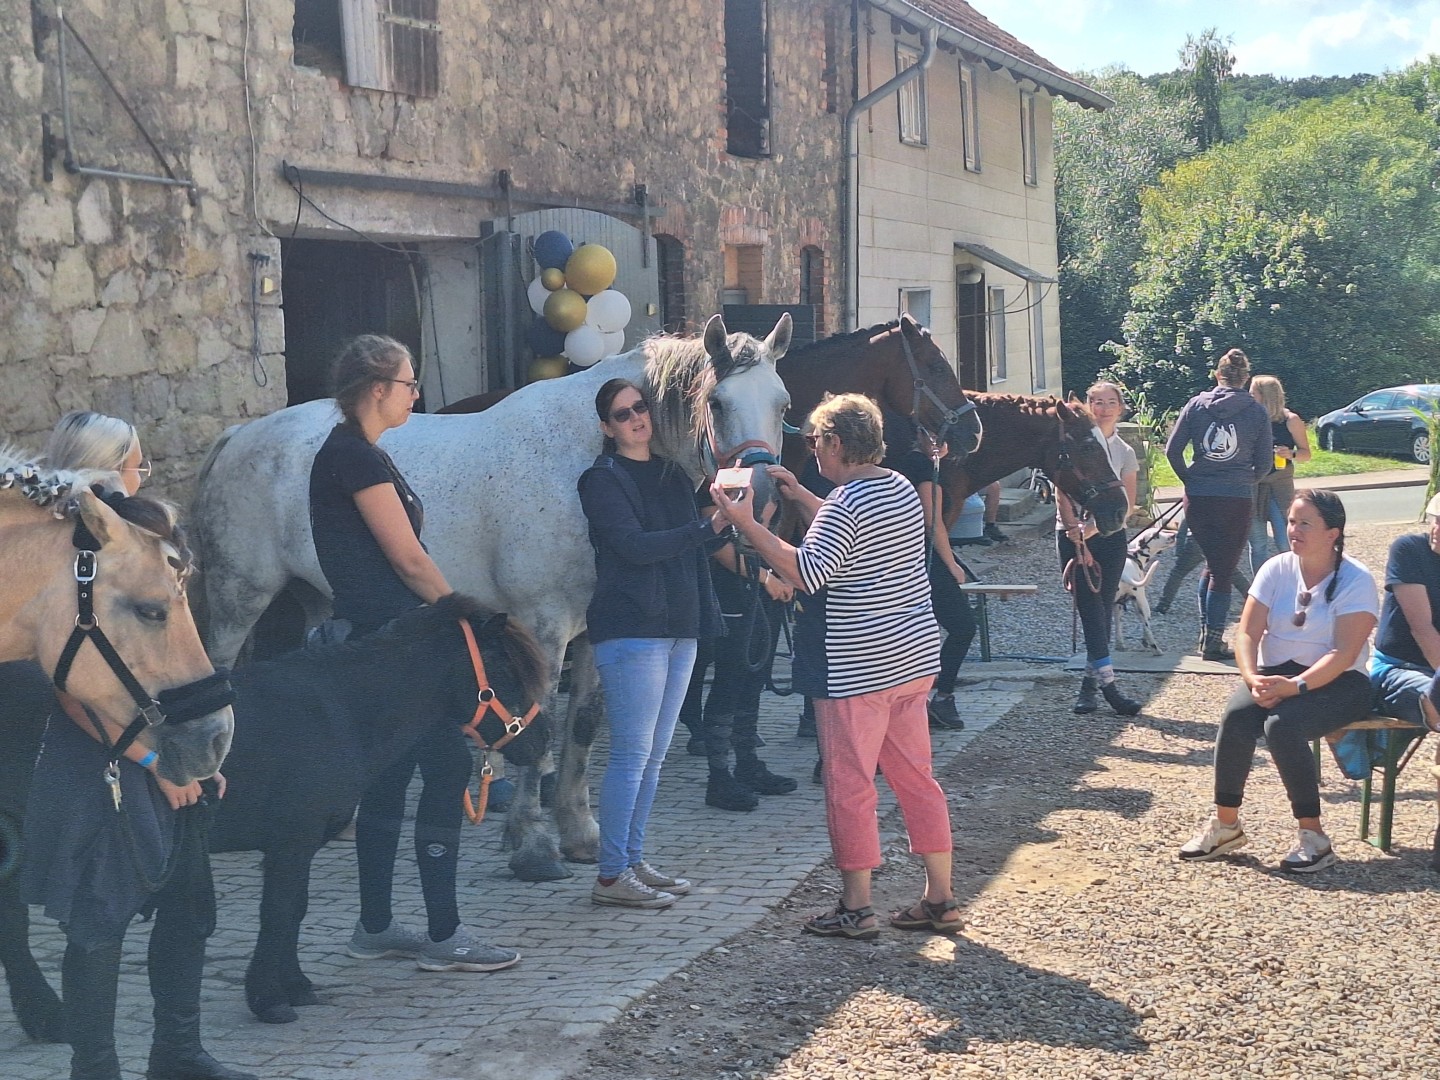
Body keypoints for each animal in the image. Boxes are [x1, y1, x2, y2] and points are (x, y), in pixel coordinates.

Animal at [1, 596, 550, 1036]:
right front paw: (269, 999)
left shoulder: (299, 845)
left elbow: (296, 909)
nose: (542, 742)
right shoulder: (290, 840)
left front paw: (295, 986)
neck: (341, 711)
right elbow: (281, 910)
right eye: (505, 674)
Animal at [187, 312, 794, 881]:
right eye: (717, 402)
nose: (760, 498)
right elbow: (540, 723)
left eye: (782, 402)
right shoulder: (543, 626)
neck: (584, 460)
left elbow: (582, 726)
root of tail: (240, 435)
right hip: (240, 595)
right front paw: (533, 845)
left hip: (314, 597)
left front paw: (580, 834)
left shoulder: (598, 630)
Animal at [1117, 527, 1175, 656]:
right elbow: (1146, 623)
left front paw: (1119, 646)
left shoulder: (1117, 606)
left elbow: (1118, 627)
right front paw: (1145, 642)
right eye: (1156, 535)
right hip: (1142, 602)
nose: (1173, 535)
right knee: (1147, 626)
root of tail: (1124, 573)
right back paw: (1156, 650)